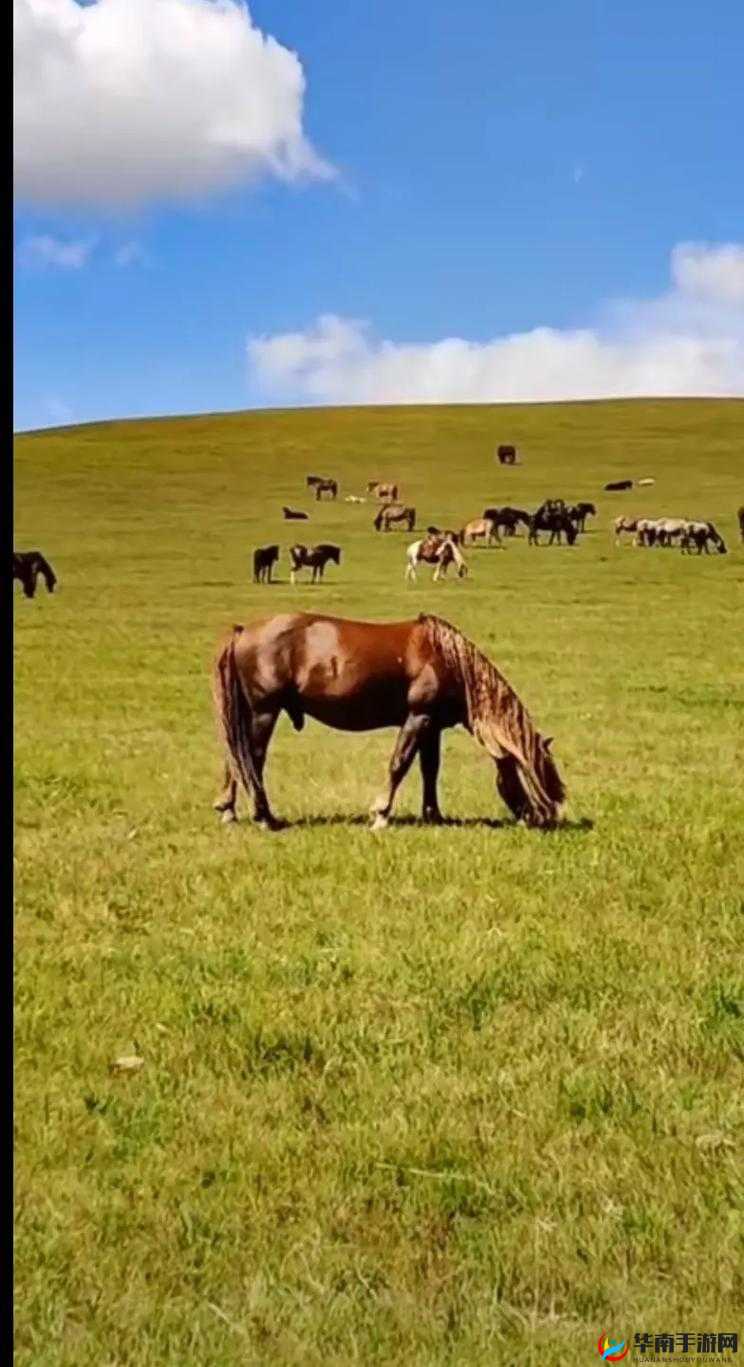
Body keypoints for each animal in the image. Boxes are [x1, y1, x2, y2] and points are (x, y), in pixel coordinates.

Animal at [212, 611, 565, 831]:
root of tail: (242, 631)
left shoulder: (431, 727)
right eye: (529, 774)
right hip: (264, 712)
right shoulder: (417, 719)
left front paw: (434, 816)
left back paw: (229, 810)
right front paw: (381, 814)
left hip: (248, 713)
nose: (543, 818)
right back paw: (264, 817)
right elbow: (400, 764)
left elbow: (430, 770)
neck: (448, 660)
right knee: (252, 760)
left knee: (236, 758)